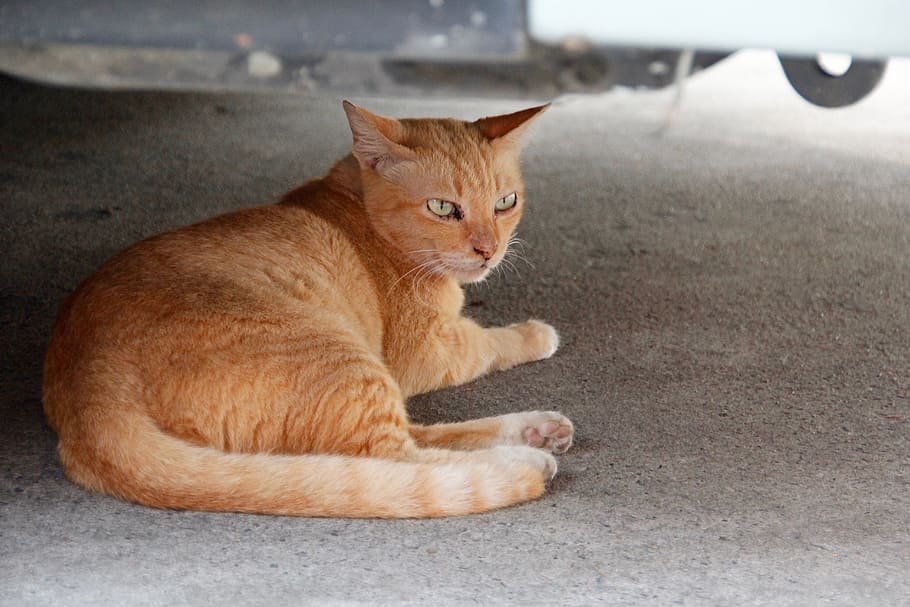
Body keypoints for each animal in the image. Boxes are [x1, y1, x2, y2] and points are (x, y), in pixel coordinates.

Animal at [44, 100, 576, 516]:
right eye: (444, 208)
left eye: (505, 202)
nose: (489, 251)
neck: (354, 208)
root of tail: (88, 391)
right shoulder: (427, 353)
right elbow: (489, 342)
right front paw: (535, 333)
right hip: (347, 363)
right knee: (393, 457)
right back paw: (525, 459)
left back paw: (534, 429)